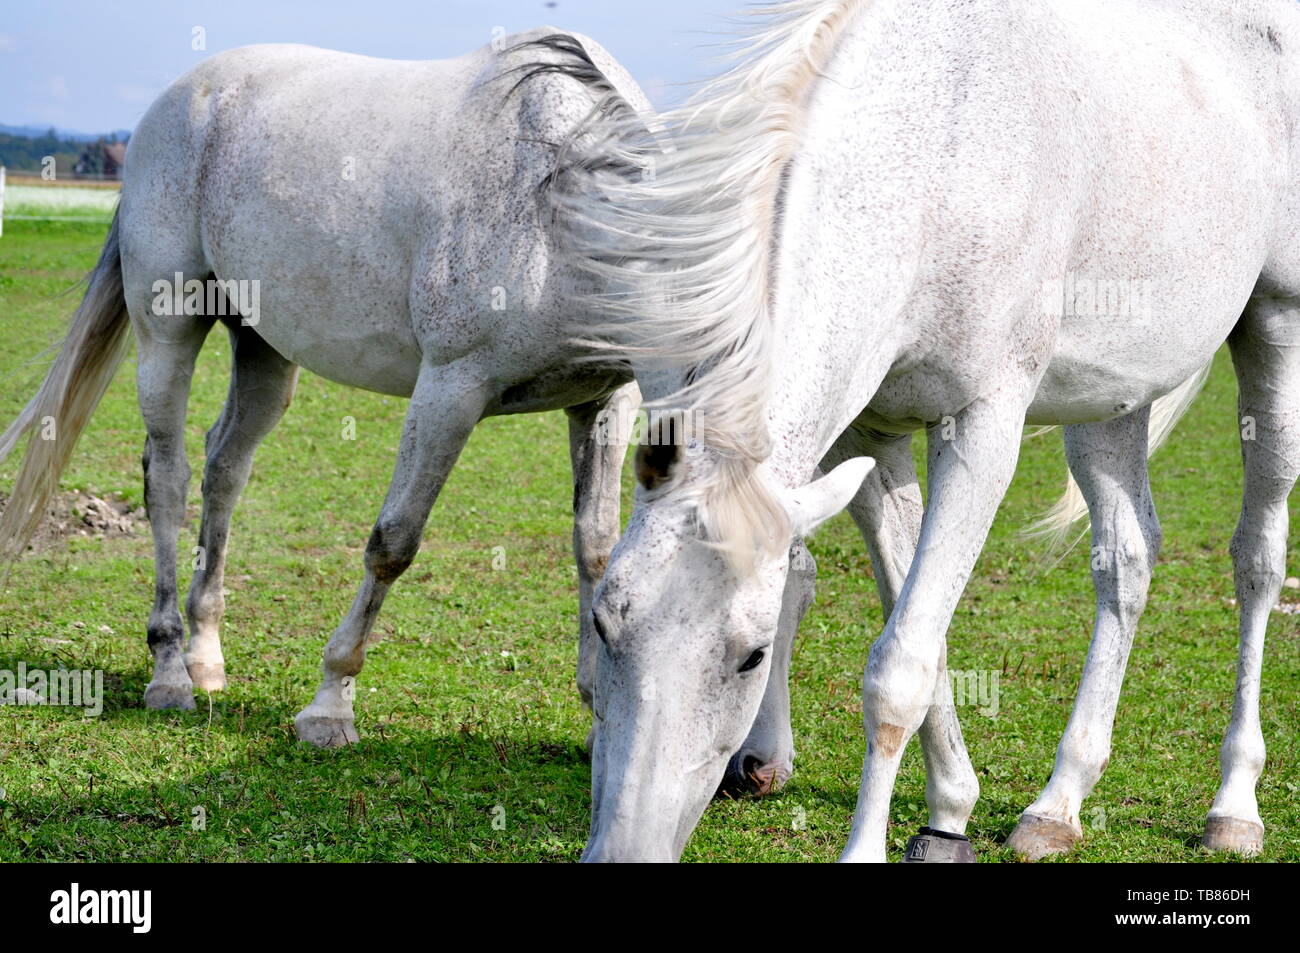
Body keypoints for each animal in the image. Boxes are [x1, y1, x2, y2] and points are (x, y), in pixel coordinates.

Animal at [0, 29, 655, 747]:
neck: (559, 203)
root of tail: (180, 98)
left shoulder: (602, 401)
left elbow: (594, 546)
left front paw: (595, 713)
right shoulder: (450, 390)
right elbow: (393, 542)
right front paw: (330, 706)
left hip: (262, 347)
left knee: (224, 468)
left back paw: (205, 656)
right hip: (166, 331)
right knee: (167, 479)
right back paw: (170, 670)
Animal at [549, 0, 1299, 861]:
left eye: (752, 655)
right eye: (603, 622)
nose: (623, 849)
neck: (937, 147)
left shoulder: (981, 429)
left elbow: (898, 667)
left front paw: (876, 844)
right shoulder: (872, 437)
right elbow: (921, 631)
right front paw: (950, 810)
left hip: (1275, 331)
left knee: (1258, 559)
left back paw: (1234, 802)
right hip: (1109, 401)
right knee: (1128, 559)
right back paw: (1058, 802)